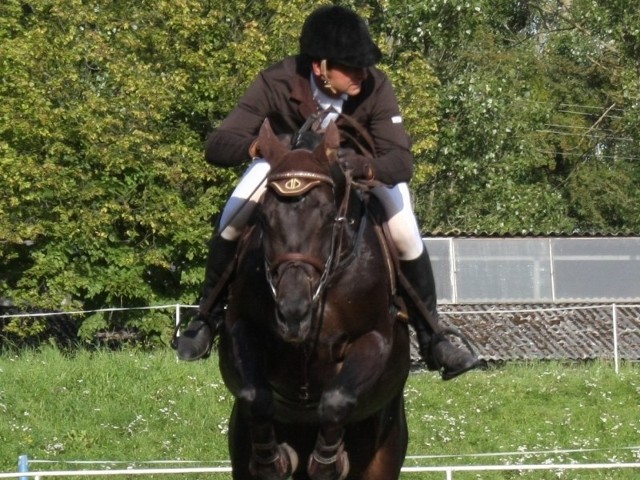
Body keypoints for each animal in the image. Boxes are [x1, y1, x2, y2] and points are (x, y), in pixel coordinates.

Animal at [218, 120, 412, 480]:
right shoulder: (242, 329)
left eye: (326, 215)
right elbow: (255, 394)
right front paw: (270, 460)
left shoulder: (375, 338)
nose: (293, 312)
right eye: (263, 217)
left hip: (386, 449)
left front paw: (326, 462)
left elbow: (336, 400)